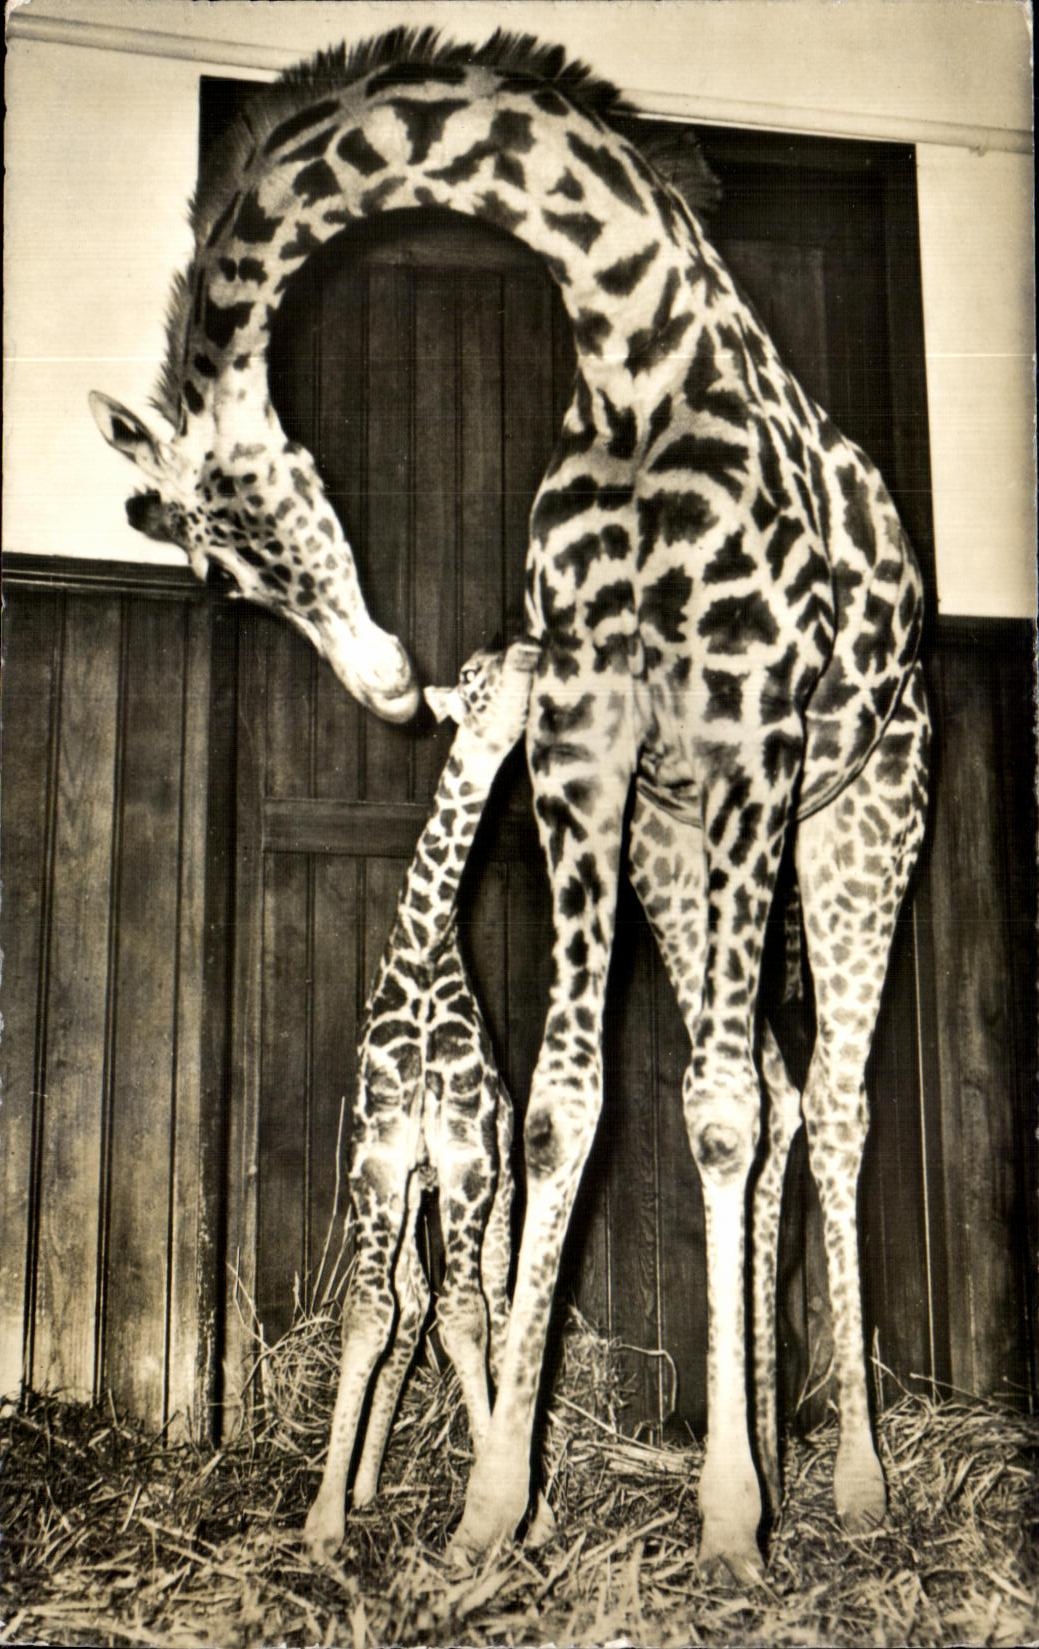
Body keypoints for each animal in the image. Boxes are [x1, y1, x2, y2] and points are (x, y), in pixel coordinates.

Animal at [302, 637, 540, 1557]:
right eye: (472, 673)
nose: (531, 656)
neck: (427, 950)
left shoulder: (470, 1159)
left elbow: (467, 1318)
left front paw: (499, 1513)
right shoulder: (378, 1163)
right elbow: (372, 1316)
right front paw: (324, 1519)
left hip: (499, 1197)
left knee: (499, 1311)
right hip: (411, 1199)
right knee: (405, 1310)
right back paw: (368, 1483)